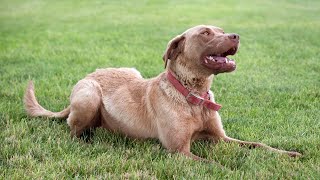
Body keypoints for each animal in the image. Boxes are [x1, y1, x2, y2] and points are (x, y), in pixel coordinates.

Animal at [23, 24, 302, 162]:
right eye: (206, 33)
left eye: (223, 31)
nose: (236, 36)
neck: (193, 95)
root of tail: (89, 75)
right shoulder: (179, 151)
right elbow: (214, 164)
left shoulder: (220, 138)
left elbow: (258, 144)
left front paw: (288, 154)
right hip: (89, 96)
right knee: (73, 131)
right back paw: (91, 138)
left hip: (130, 71)